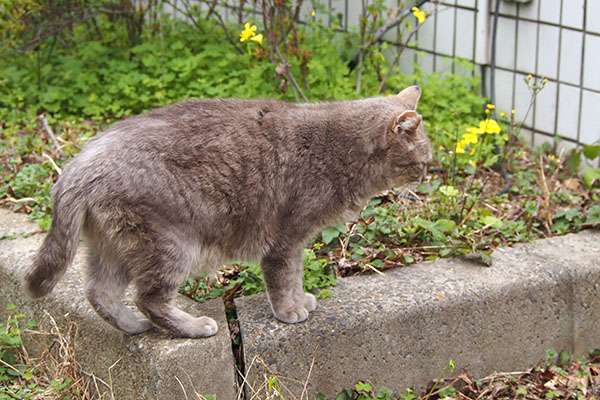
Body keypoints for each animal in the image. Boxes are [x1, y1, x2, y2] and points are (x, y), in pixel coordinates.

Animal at [19, 86, 432, 338]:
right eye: (423, 160)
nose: (430, 172)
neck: (340, 148)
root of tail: (79, 164)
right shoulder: (285, 239)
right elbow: (284, 279)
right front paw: (290, 310)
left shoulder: (296, 242)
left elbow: (296, 276)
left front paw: (301, 301)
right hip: (168, 246)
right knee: (149, 298)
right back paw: (193, 327)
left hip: (114, 248)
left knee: (99, 293)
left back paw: (132, 326)